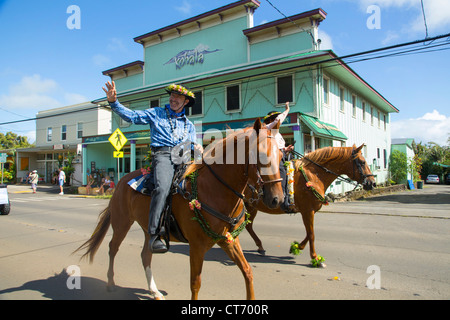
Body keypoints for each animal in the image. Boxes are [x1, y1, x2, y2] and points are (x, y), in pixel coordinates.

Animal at [75, 119, 284, 300]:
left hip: (149, 230)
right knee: (113, 248)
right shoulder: (197, 246)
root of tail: (120, 181)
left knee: (145, 255)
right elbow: (195, 283)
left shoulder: (229, 240)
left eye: (282, 155)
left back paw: (155, 291)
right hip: (122, 222)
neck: (215, 189)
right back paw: (111, 283)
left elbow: (247, 272)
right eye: (262, 155)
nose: (278, 199)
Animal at [244, 145, 374, 264]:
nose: (372, 183)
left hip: (251, 207)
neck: (313, 176)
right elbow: (311, 234)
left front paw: (296, 247)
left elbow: (309, 232)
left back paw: (260, 247)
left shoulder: (310, 212)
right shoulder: (307, 211)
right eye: (362, 162)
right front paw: (315, 258)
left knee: (248, 225)